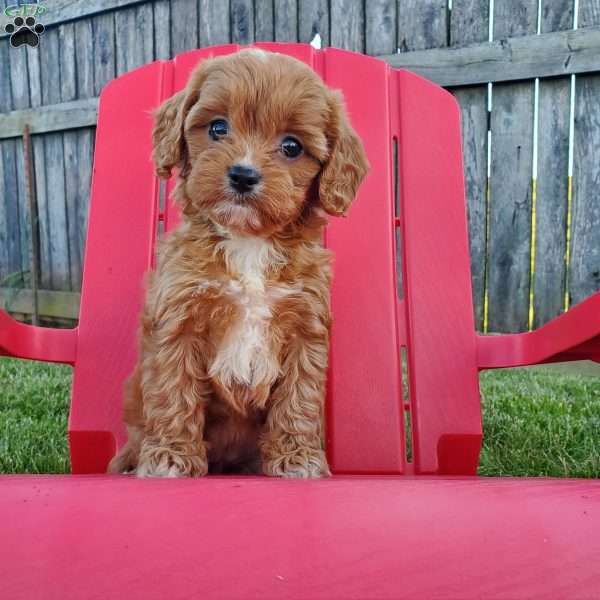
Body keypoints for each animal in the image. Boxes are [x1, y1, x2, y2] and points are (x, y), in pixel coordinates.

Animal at [109, 48, 368, 478]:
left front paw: (297, 459)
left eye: (292, 146)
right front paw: (170, 459)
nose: (243, 175)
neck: (249, 243)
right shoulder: (179, 321)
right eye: (217, 127)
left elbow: (299, 399)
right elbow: (174, 393)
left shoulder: (305, 327)